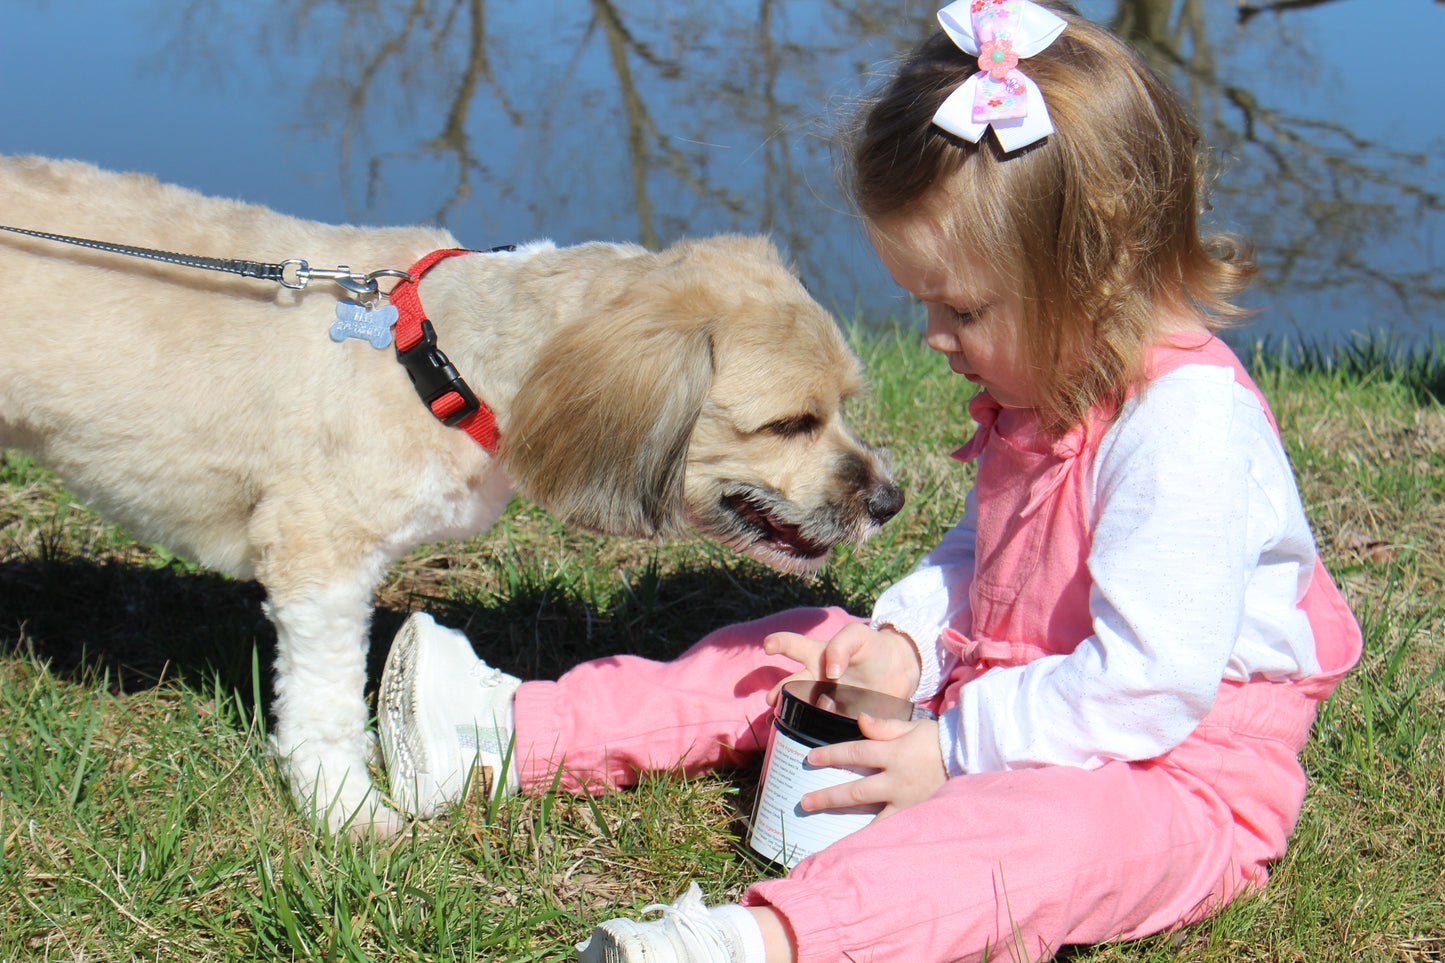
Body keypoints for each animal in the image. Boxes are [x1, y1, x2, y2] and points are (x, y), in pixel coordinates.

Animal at [0, 157, 895, 832]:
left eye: (847, 401)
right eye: (789, 423)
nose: (887, 500)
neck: (437, 358)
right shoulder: (319, 556)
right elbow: (323, 699)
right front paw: (345, 805)